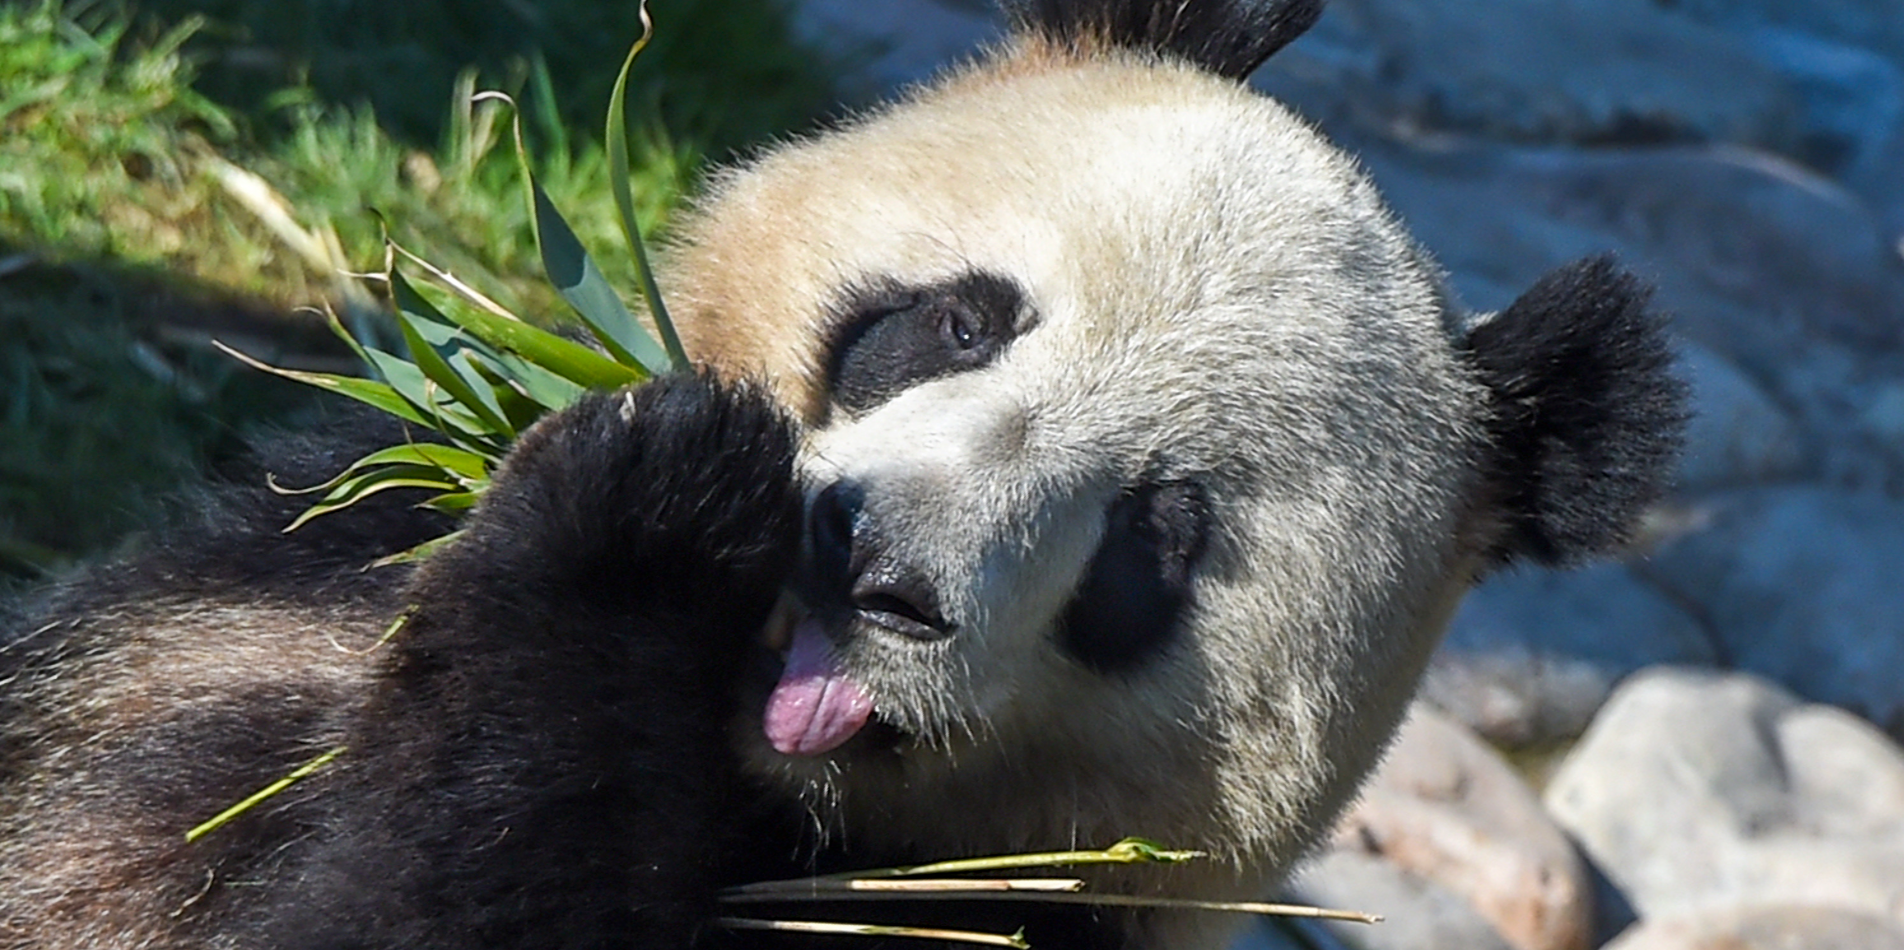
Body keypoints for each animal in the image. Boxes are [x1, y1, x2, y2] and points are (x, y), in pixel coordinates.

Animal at [0, 1, 1685, 949]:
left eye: (1156, 539)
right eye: (958, 321)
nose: (869, 567)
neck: (745, 767)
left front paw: (647, 521)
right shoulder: (228, 614)